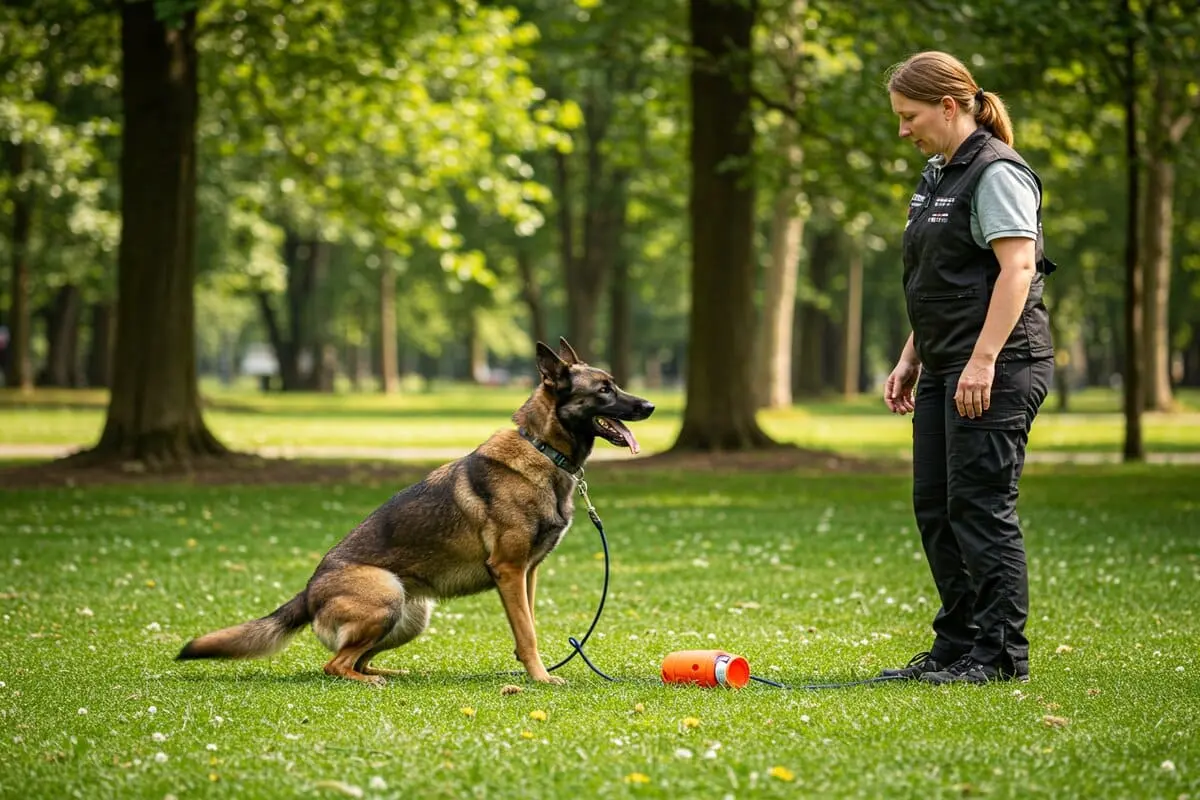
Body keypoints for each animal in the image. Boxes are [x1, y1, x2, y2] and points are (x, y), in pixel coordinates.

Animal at [175, 340, 657, 686]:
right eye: (604, 389)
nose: (650, 406)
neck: (542, 451)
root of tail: (310, 590)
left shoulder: (528, 573)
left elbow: (528, 627)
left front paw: (531, 671)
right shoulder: (509, 570)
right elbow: (528, 631)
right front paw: (541, 678)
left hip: (412, 615)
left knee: (356, 660)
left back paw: (392, 672)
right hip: (386, 595)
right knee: (335, 666)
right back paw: (371, 681)